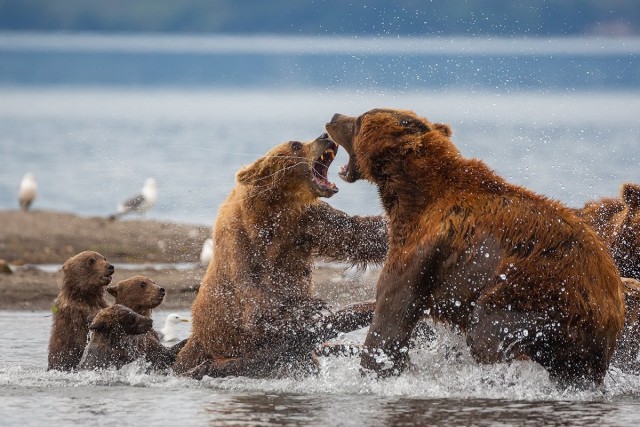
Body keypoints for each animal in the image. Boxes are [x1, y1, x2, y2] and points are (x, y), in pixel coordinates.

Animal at [172, 135, 388, 382]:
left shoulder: (308, 224)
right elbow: (256, 299)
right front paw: (310, 306)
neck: (276, 208)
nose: (325, 137)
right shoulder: (241, 242)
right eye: (296, 145)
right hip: (208, 345)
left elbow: (357, 233)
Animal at [324, 109, 624, 388]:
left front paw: (374, 370)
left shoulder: (421, 248)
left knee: (488, 334)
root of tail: (610, 302)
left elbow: (392, 312)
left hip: (535, 291)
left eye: (360, 120)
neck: (411, 193)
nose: (334, 117)